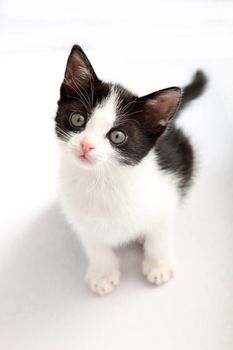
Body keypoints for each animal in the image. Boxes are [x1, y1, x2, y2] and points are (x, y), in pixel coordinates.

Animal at [55, 43, 208, 296]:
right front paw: (103, 274)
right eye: (77, 120)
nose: (86, 145)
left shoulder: (167, 194)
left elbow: (160, 234)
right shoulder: (80, 216)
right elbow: (96, 245)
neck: (103, 180)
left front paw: (158, 265)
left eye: (117, 136)